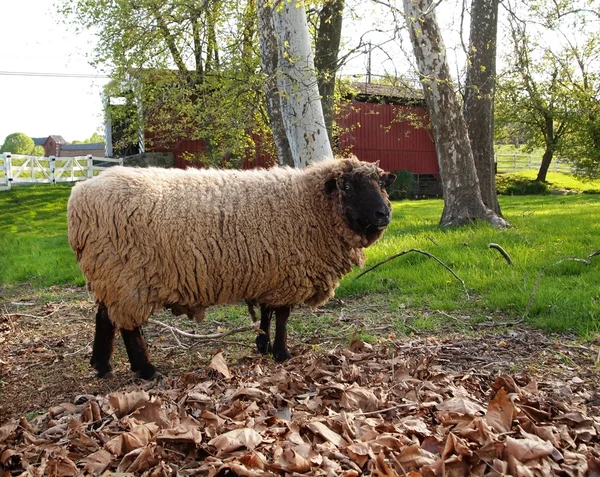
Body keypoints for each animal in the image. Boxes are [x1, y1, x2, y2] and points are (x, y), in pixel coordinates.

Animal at [68, 158, 396, 378]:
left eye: (380, 184)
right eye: (348, 186)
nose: (383, 214)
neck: (306, 204)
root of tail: (79, 197)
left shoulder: (271, 273)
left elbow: (266, 313)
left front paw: (262, 345)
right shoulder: (287, 274)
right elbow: (283, 317)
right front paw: (282, 353)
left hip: (108, 271)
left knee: (104, 318)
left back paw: (102, 365)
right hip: (127, 275)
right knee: (128, 326)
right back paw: (146, 369)